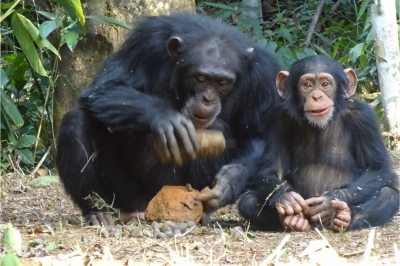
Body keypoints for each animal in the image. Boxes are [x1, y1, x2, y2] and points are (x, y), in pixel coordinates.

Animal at [56, 12, 282, 224]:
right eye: (201, 78)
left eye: (223, 82)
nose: (207, 99)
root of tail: (146, 208)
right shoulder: (145, 41)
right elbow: (105, 87)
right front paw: (166, 119)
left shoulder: (263, 74)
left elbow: (258, 135)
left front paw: (228, 183)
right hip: (125, 195)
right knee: (75, 122)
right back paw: (97, 211)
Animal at [236, 55, 398, 232]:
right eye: (307, 85)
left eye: (325, 84)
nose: (316, 96)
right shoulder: (277, 118)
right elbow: (272, 170)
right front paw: (286, 197)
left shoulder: (364, 117)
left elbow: (378, 169)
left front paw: (328, 202)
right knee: (248, 200)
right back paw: (293, 220)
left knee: (388, 194)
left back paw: (344, 216)